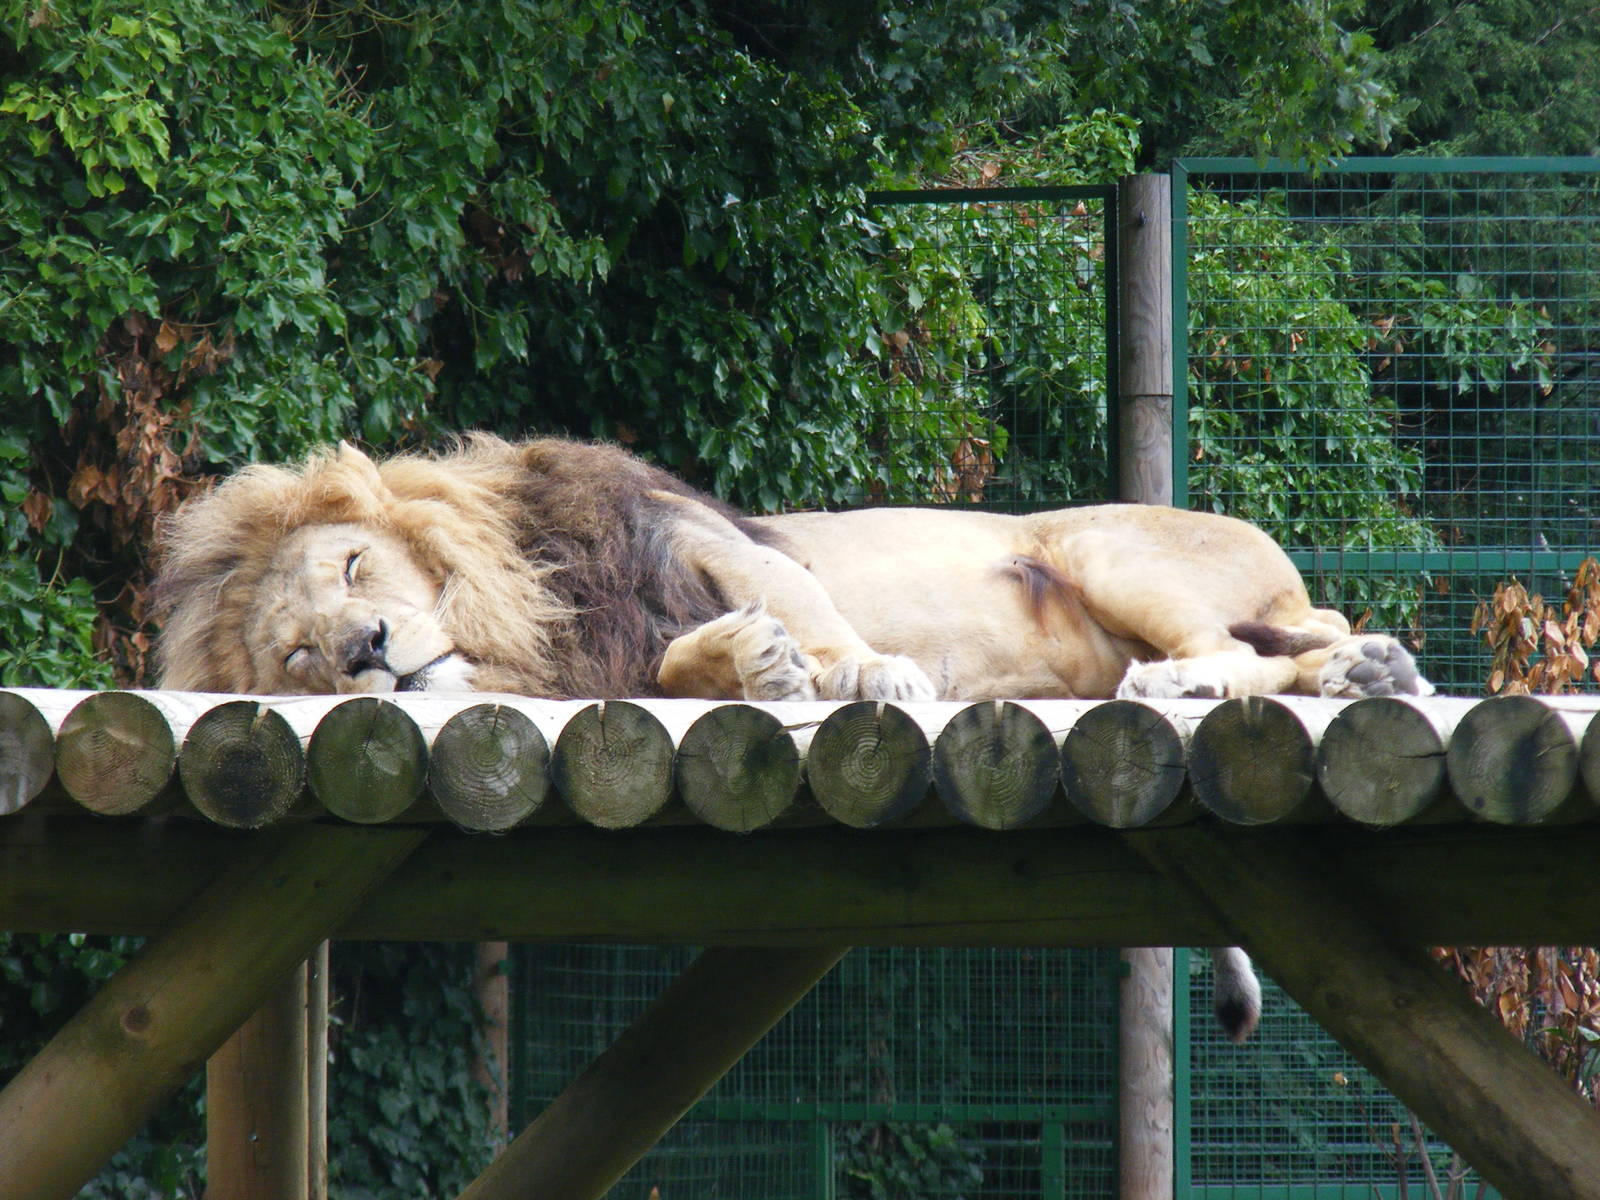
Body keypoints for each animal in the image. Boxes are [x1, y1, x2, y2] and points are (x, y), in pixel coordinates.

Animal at [151, 432, 1433, 1042]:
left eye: (354, 567)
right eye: (298, 658)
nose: (367, 649)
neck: (527, 618)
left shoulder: (697, 538)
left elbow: (807, 609)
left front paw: (861, 668)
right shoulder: (625, 650)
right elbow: (688, 665)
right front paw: (750, 664)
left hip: (1099, 546)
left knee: (1269, 634)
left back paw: (1205, 677)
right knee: (1309, 643)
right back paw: (1363, 669)